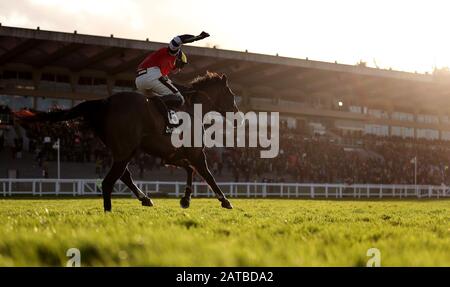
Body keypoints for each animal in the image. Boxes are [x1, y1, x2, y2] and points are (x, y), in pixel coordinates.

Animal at [16, 72, 243, 212]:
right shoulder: (196, 153)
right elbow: (207, 175)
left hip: (123, 150)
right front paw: (225, 200)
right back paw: (109, 212)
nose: (238, 116)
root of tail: (105, 102)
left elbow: (189, 170)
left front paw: (185, 200)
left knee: (123, 176)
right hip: (126, 150)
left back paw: (145, 199)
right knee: (109, 181)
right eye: (231, 94)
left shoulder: (171, 155)